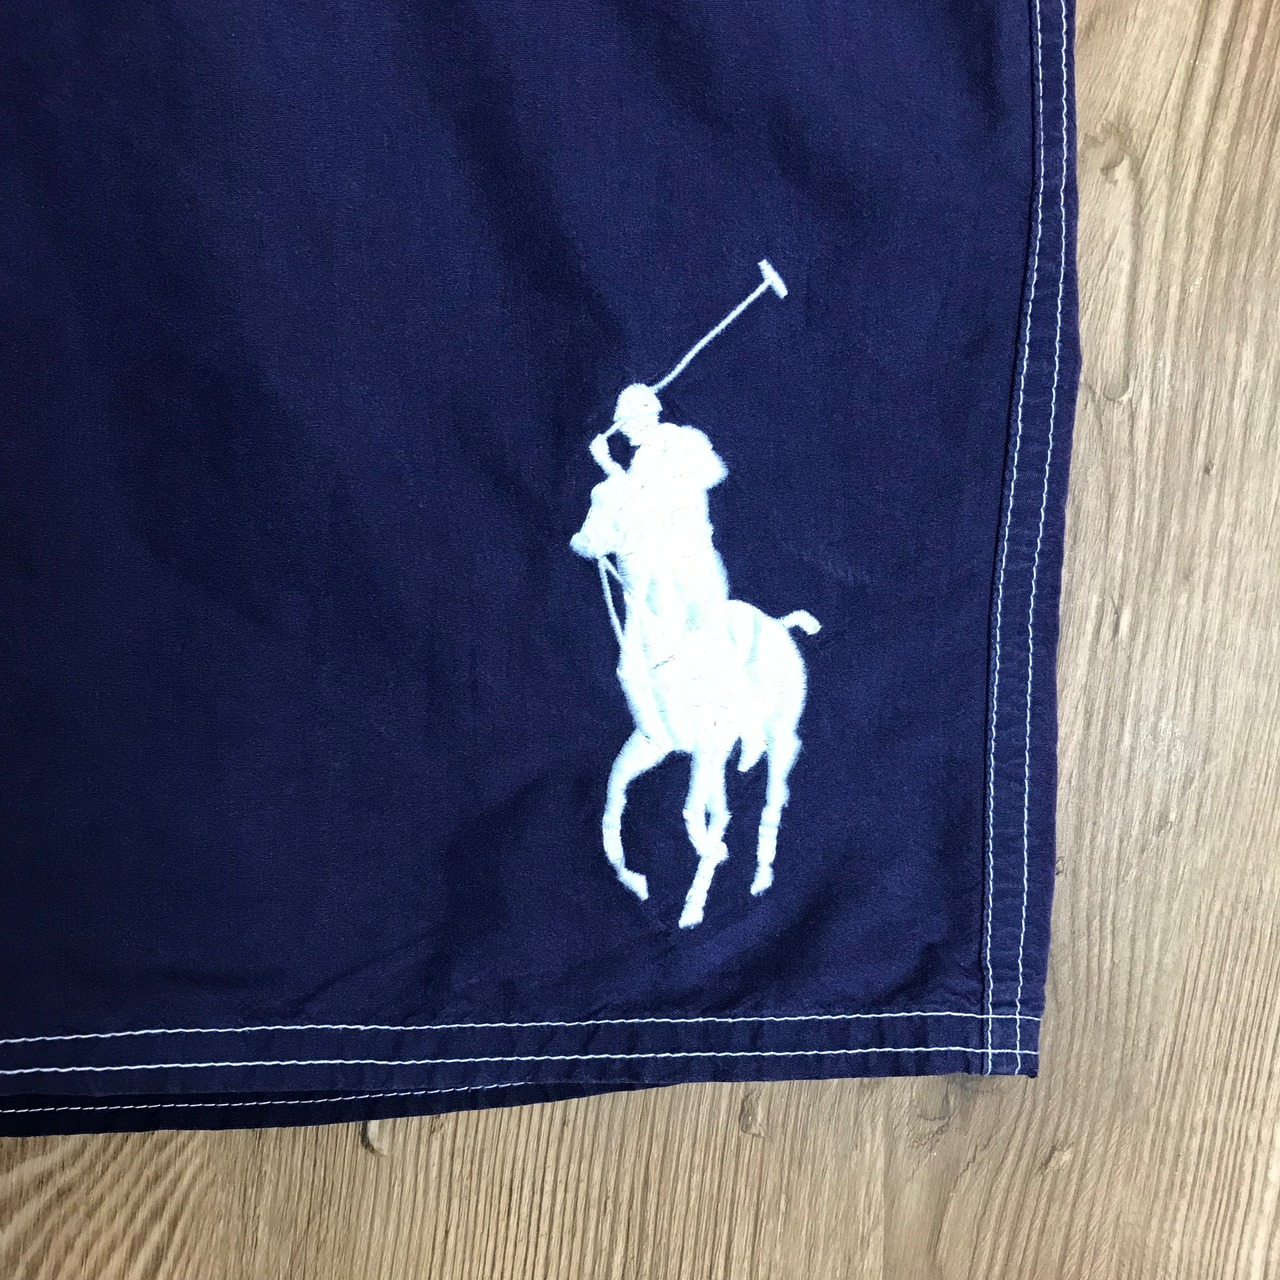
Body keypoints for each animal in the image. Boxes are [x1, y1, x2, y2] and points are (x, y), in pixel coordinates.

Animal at [570, 470, 820, 928]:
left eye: (620, 508)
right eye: (593, 501)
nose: (581, 544)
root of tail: (782, 625)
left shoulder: (707, 747)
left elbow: (690, 810)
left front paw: (705, 868)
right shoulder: (655, 744)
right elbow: (614, 799)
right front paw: (638, 882)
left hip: (781, 738)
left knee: (771, 803)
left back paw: (758, 879)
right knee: (725, 805)